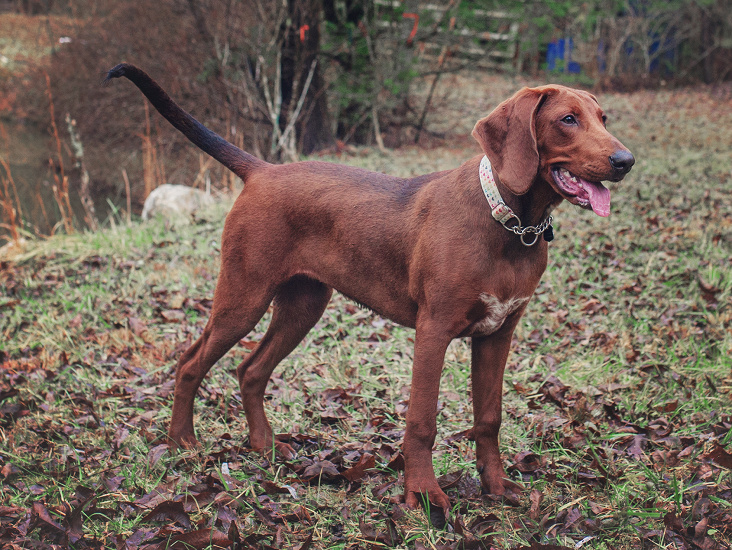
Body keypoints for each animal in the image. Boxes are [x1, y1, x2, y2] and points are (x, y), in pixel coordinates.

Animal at [106, 64, 632, 512]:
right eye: (567, 119)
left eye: (604, 118)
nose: (625, 160)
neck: (509, 224)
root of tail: (264, 170)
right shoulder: (434, 330)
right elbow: (422, 421)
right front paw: (423, 495)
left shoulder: (498, 334)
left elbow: (490, 418)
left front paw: (497, 487)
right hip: (243, 294)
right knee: (191, 362)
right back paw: (182, 443)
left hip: (303, 305)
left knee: (251, 370)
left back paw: (264, 446)